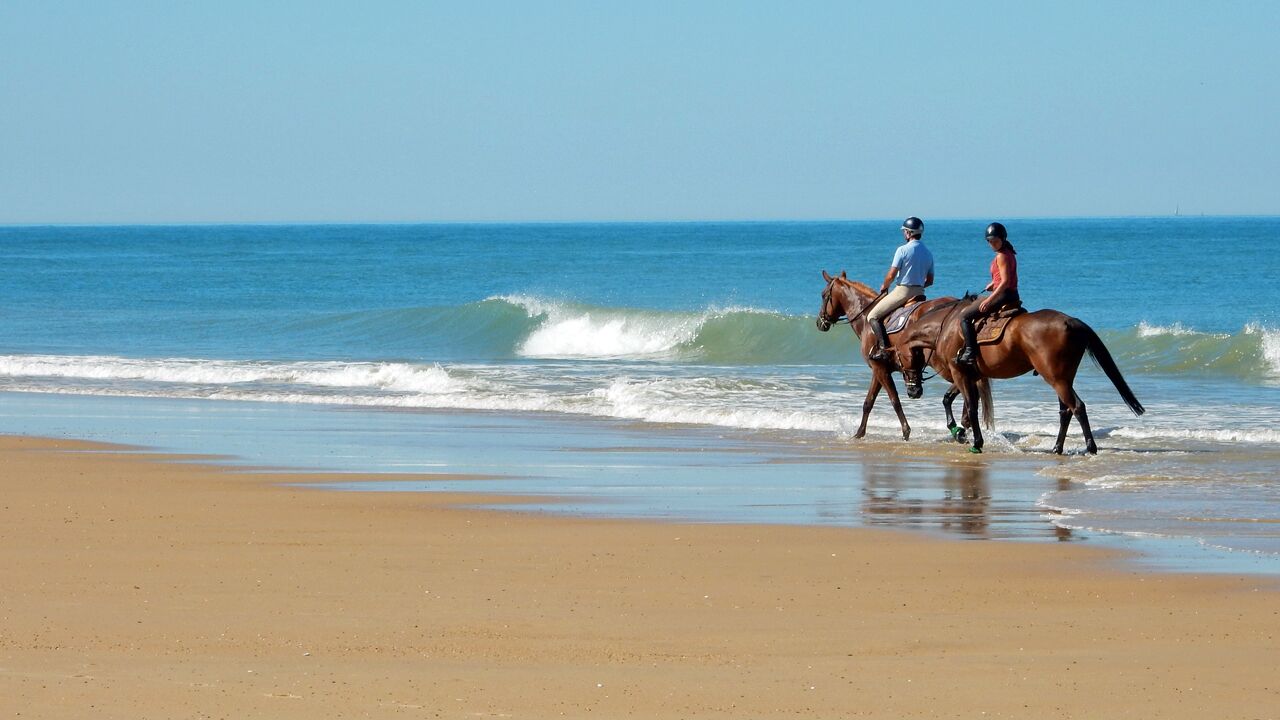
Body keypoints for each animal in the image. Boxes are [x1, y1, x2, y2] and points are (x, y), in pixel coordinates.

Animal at [816, 271, 992, 442]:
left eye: (824, 295)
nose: (819, 323)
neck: (866, 318)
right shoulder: (879, 370)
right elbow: (868, 402)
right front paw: (859, 433)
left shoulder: (880, 369)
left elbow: (894, 400)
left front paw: (906, 432)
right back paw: (964, 425)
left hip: (944, 364)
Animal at [896, 297, 1145, 454]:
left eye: (898, 359)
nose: (913, 391)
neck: (946, 327)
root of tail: (1071, 321)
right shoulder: (969, 374)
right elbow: (949, 399)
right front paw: (958, 432)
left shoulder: (960, 373)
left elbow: (971, 407)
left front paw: (974, 441)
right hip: (1063, 378)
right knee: (1066, 410)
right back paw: (1057, 448)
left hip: (1055, 378)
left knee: (1077, 407)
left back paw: (1090, 447)